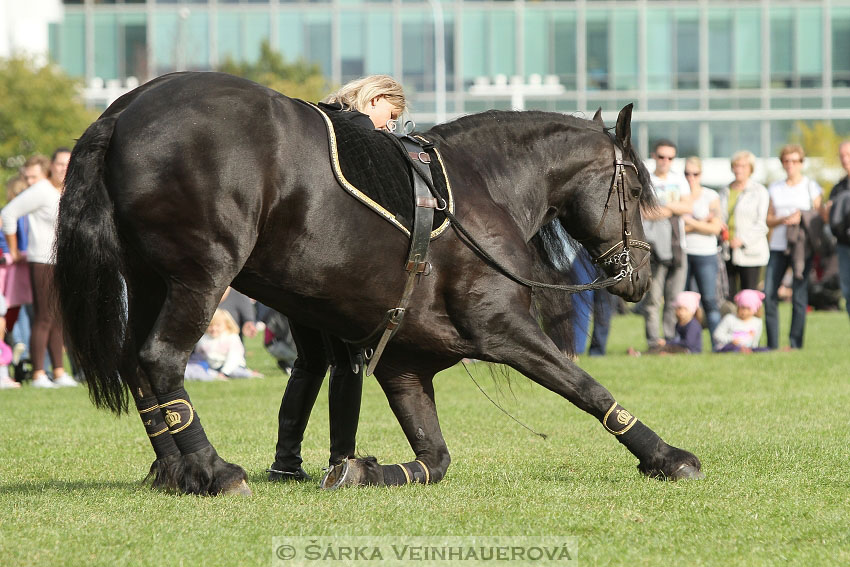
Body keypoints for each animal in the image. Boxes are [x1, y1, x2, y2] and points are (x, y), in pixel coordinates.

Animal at [54, 72, 704, 496]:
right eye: (637, 188)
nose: (640, 274)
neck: (481, 190)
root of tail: (123, 111)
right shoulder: (504, 330)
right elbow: (586, 389)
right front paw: (666, 457)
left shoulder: (404, 365)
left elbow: (433, 460)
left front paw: (358, 468)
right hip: (202, 278)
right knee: (161, 359)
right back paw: (213, 471)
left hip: (149, 283)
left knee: (139, 368)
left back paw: (176, 470)